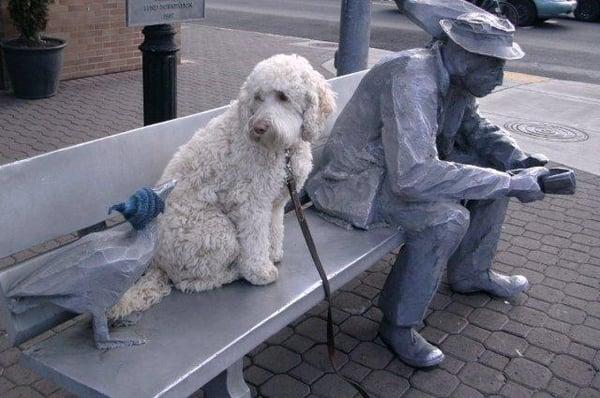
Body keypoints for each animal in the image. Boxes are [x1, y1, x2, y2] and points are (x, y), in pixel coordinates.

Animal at [109, 54, 338, 320]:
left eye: (283, 96)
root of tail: (156, 262)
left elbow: (273, 229)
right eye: (258, 97)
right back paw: (235, 271)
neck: (283, 151)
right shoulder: (250, 201)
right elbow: (255, 238)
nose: (258, 127)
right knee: (190, 282)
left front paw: (272, 253)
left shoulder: (275, 201)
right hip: (217, 231)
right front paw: (259, 271)